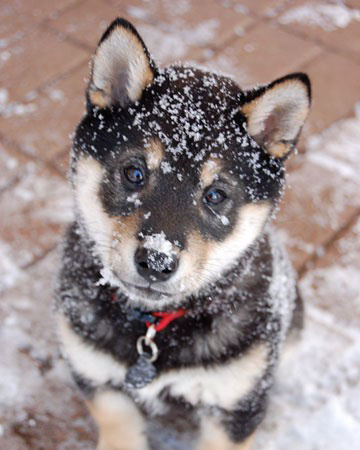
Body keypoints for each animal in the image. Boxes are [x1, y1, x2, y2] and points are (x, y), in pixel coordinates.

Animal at [55, 17, 310, 450]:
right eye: (134, 173)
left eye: (215, 195)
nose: (157, 261)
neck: (155, 329)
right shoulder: (98, 379)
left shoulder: (233, 404)